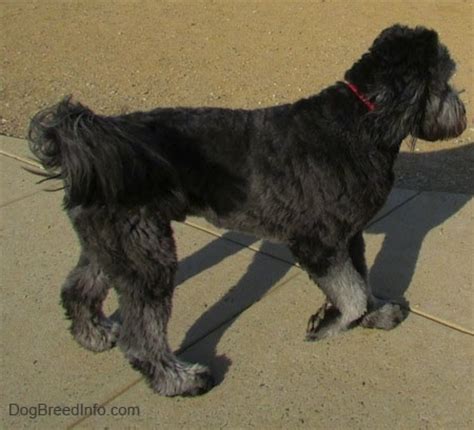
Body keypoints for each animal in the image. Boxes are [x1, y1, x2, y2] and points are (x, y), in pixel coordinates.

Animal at [29, 25, 466, 396]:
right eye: (444, 79)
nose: (461, 111)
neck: (362, 121)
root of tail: (86, 143)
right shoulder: (317, 242)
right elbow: (353, 293)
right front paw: (330, 323)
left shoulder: (350, 237)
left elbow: (362, 282)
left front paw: (372, 316)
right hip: (147, 256)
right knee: (140, 336)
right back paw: (179, 381)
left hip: (115, 245)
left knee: (77, 289)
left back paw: (92, 336)